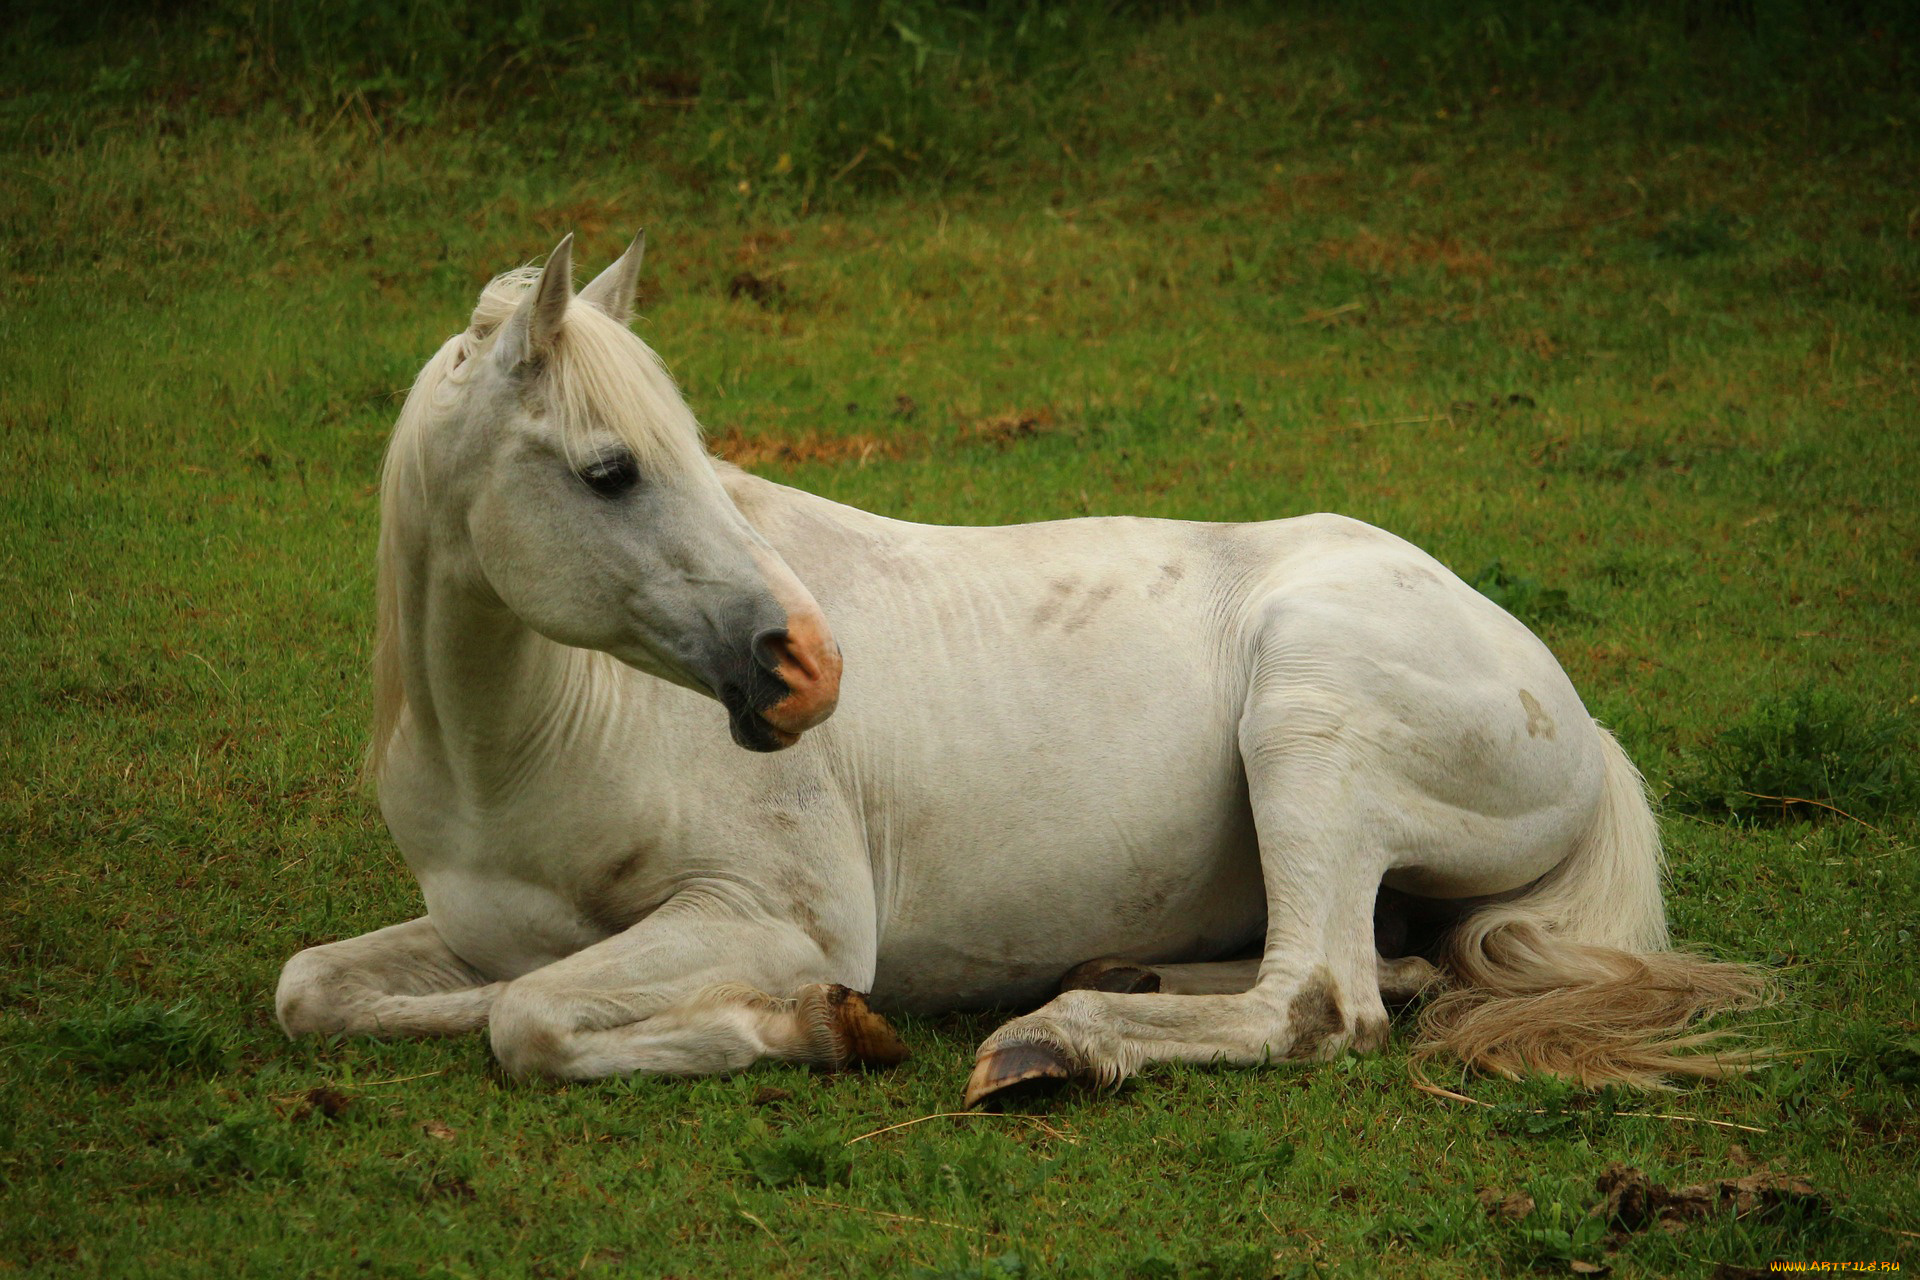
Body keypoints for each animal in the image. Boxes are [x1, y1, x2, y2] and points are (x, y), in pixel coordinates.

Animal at [275, 233, 1764, 1107]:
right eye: (609, 470)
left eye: (687, 454)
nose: (808, 668)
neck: (521, 747)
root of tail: (1570, 708)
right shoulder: (481, 927)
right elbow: (327, 989)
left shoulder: (778, 915)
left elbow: (528, 1018)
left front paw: (818, 1024)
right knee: (1378, 970)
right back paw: (1127, 983)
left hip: (1307, 726)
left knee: (1318, 1002)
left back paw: (1063, 1039)